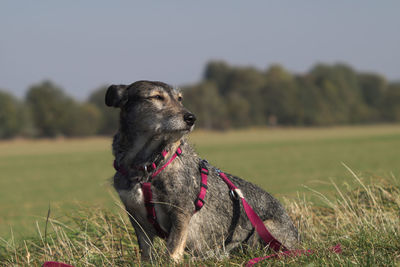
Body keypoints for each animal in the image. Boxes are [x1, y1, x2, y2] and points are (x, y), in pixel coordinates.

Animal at [104, 80, 298, 262]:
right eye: (157, 97)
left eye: (180, 98)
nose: (191, 118)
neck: (148, 165)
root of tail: (297, 238)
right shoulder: (137, 217)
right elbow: (146, 252)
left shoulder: (181, 211)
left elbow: (173, 248)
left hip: (262, 230)